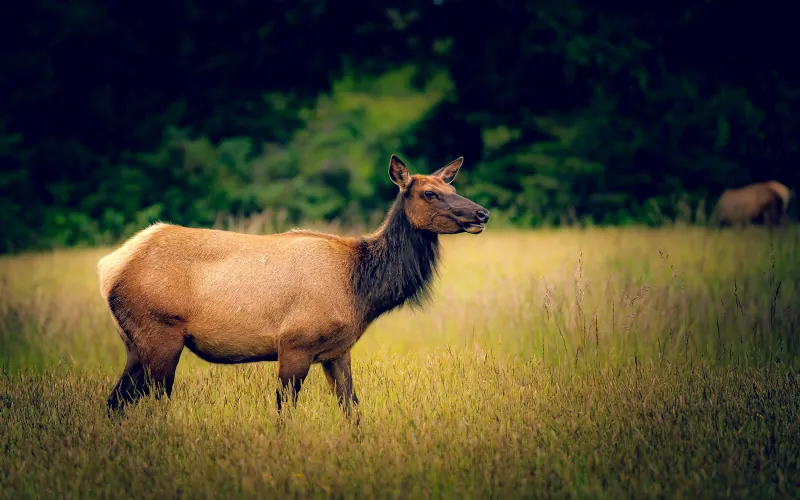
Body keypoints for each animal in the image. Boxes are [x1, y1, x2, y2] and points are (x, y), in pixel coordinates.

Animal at [98, 154, 490, 424]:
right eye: (430, 193)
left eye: (454, 188)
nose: (481, 214)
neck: (360, 291)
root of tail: (109, 267)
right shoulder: (295, 344)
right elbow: (284, 415)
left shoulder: (337, 351)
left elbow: (352, 411)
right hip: (160, 334)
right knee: (153, 405)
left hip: (134, 343)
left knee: (114, 402)